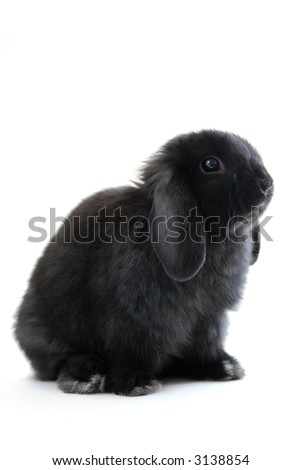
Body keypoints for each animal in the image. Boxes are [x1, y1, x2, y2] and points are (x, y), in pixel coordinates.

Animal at [14, 129, 272, 396]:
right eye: (211, 164)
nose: (266, 183)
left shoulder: (210, 315)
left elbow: (207, 344)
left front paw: (224, 368)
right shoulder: (137, 317)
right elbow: (134, 349)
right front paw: (135, 383)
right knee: (59, 360)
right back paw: (85, 375)